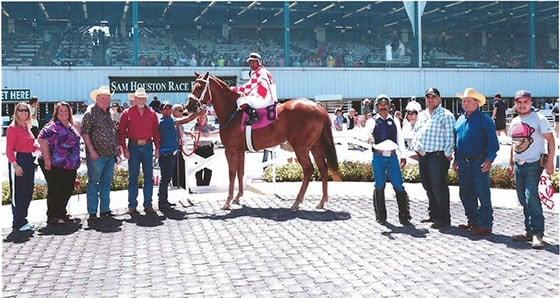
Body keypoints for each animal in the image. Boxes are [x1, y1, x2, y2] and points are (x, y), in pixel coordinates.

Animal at [189, 72, 342, 211]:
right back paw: (322, 201)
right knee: (323, 168)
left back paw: (297, 202)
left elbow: (232, 173)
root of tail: (319, 108)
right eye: (193, 85)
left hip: (301, 147)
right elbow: (240, 172)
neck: (232, 112)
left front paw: (227, 201)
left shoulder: (230, 149)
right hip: (315, 146)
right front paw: (238, 198)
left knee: (308, 169)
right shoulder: (240, 150)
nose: (189, 106)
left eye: (199, 87)